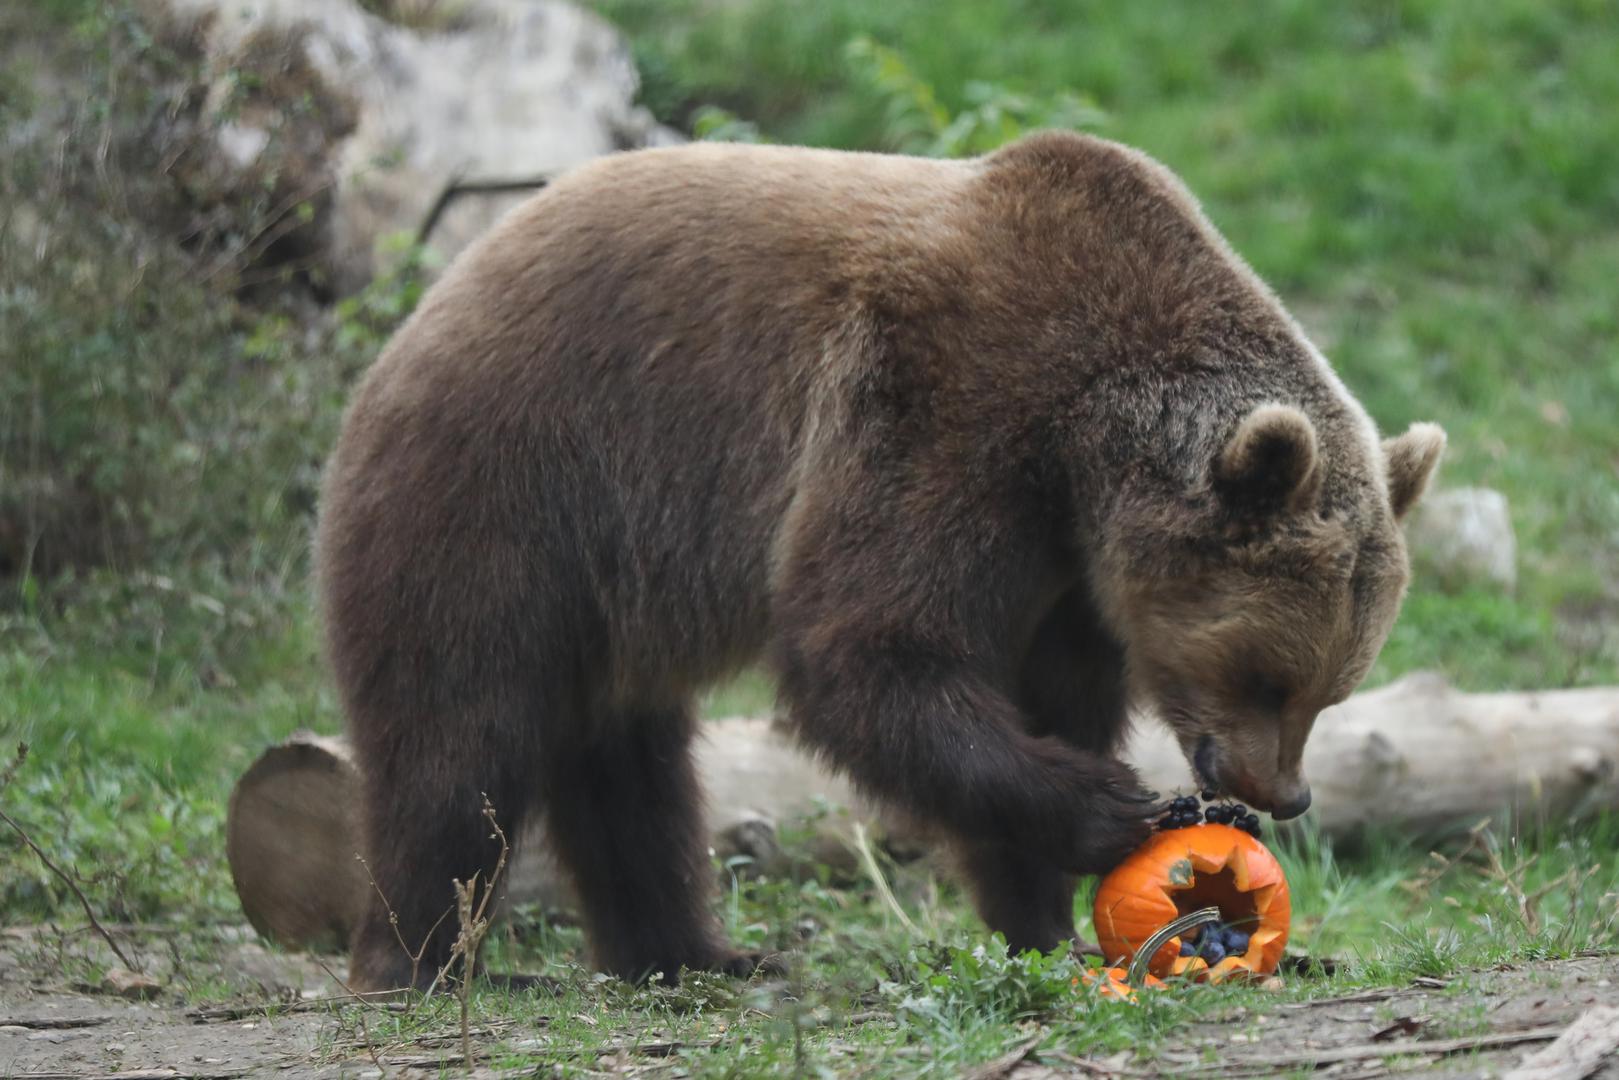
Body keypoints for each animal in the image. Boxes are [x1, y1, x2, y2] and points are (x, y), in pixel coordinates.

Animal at [315, 131, 1444, 990]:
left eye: (1331, 689)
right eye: (1268, 676)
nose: (1280, 794)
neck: (1080, 439)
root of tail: (415, 316)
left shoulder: (1068, 575)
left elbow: (1035, 694)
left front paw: (1043, 921)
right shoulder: (938, 401)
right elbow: (869, 646)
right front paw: (1113, 810)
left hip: (611, 580)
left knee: (630, 765)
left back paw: (693, 953)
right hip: (506, 488)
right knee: (460, 731)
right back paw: (421, 957)